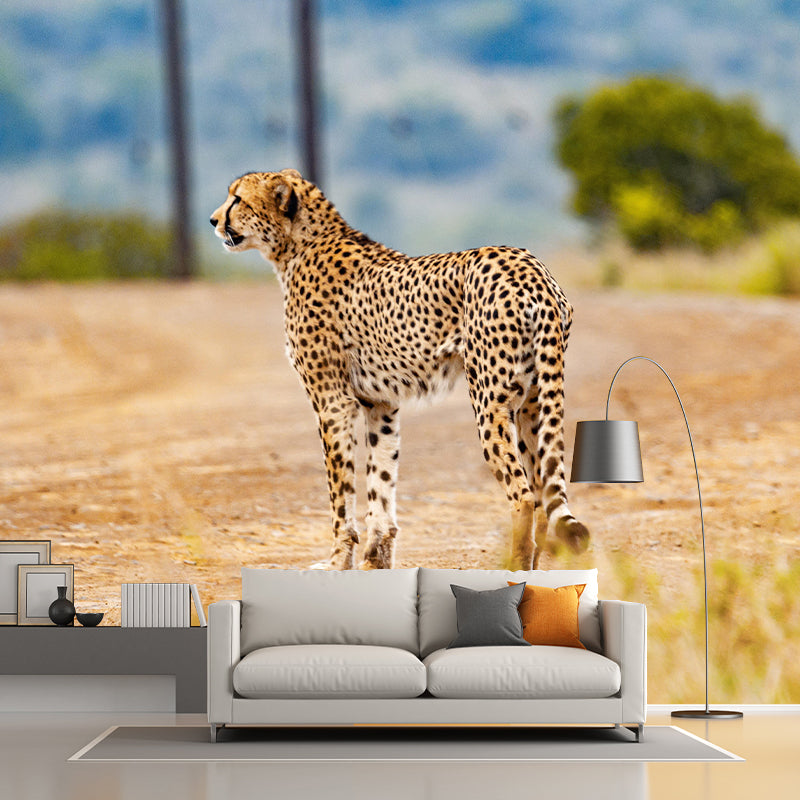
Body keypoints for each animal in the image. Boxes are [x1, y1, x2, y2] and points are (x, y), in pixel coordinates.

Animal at [211, 168, 589, 570]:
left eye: (238, 198)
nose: (214, 220)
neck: (298, 245)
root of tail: (532, 268)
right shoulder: (380, 403)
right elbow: (381, 480)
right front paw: (376, 559)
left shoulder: (332, 402)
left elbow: (341, 492)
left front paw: (338, 561)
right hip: (533, 403)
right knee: (543, 489)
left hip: (491, 404)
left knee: (524, 494)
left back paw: (516, 569)